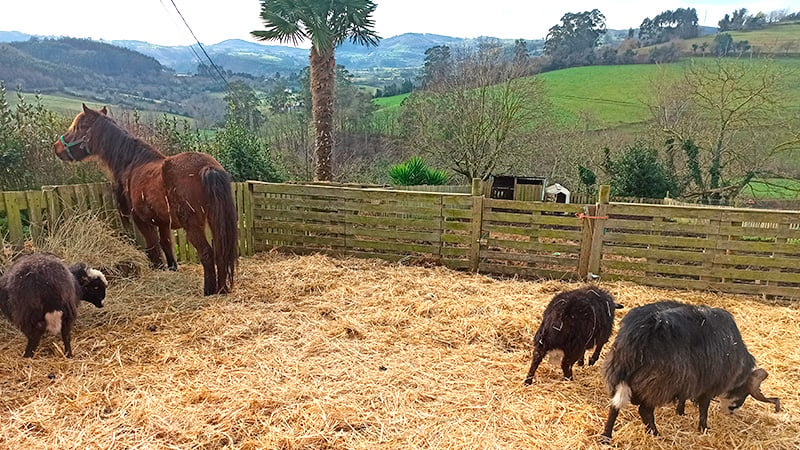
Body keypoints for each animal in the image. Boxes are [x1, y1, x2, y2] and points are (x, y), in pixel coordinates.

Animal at [54, 105, 238, 296]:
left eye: (79, 127)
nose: (56, 147)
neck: (133, 163)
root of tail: (207, 167)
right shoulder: (163, 222)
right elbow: (166, 245)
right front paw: (171, 270)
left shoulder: (142, 221)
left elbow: (153, 248)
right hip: (216, 221)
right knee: (221, 251)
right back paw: (222, 289)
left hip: (193, 225)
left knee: (207, 253)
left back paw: (209, 291)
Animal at [600, 300, 780, 442]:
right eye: (744, 391)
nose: (732, 411)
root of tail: (637, 336)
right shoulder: (708, 384)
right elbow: (704, 408)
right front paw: (704, 428)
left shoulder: (689, 380)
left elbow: (684, 398)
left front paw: (680, 412)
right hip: (659, 384)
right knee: (644, 410)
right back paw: (656, 434)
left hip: (618, 374)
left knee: (614, 406)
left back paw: (606, 437)